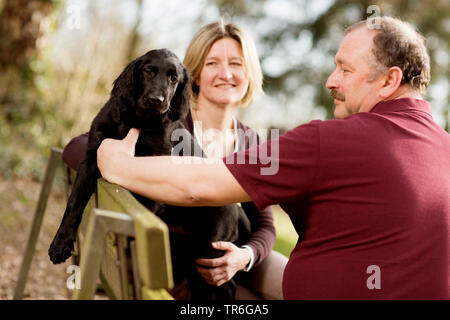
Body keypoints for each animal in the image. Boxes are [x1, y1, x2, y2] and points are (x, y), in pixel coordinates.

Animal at [49, 48, 253, 300]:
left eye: (174, 79)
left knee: (226, 284)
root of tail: (238, 210)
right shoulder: (92, 157)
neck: (137, 120)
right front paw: (60, 244)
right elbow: (74, 203)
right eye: (148, 71)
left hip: (208, 246)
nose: (157, 100)